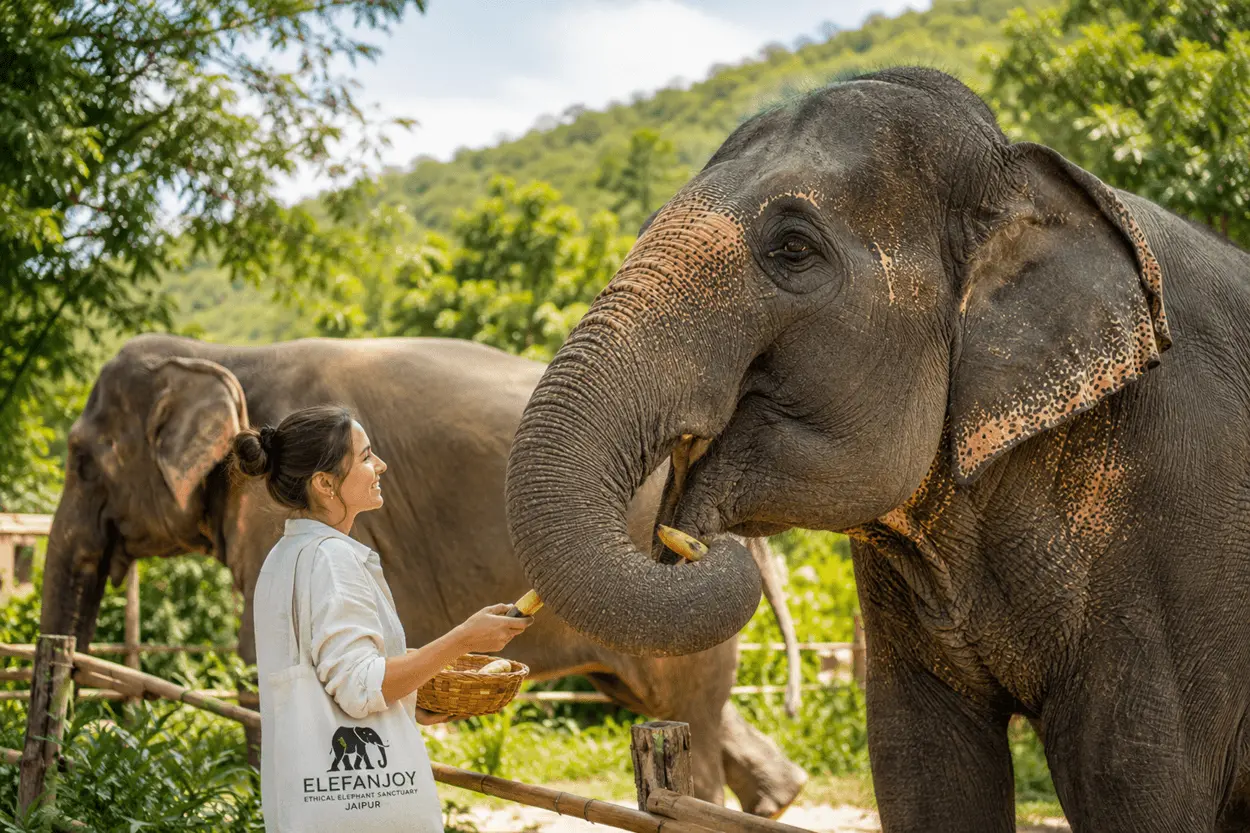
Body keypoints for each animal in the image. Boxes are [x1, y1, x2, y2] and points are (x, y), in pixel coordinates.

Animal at [38, 333, 807, 816]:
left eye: (80, 460)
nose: (68, 769)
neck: (218, 352)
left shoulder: (263, 511)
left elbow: (263, 657)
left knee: (687, 710)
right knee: (674, 700)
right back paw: (780, 796)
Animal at [504, 65, 1250, 832]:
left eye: (794, 249)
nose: (686, 542)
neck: (1015, 171)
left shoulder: (1185, 528)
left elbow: (1134, 782)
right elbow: (922, 769)